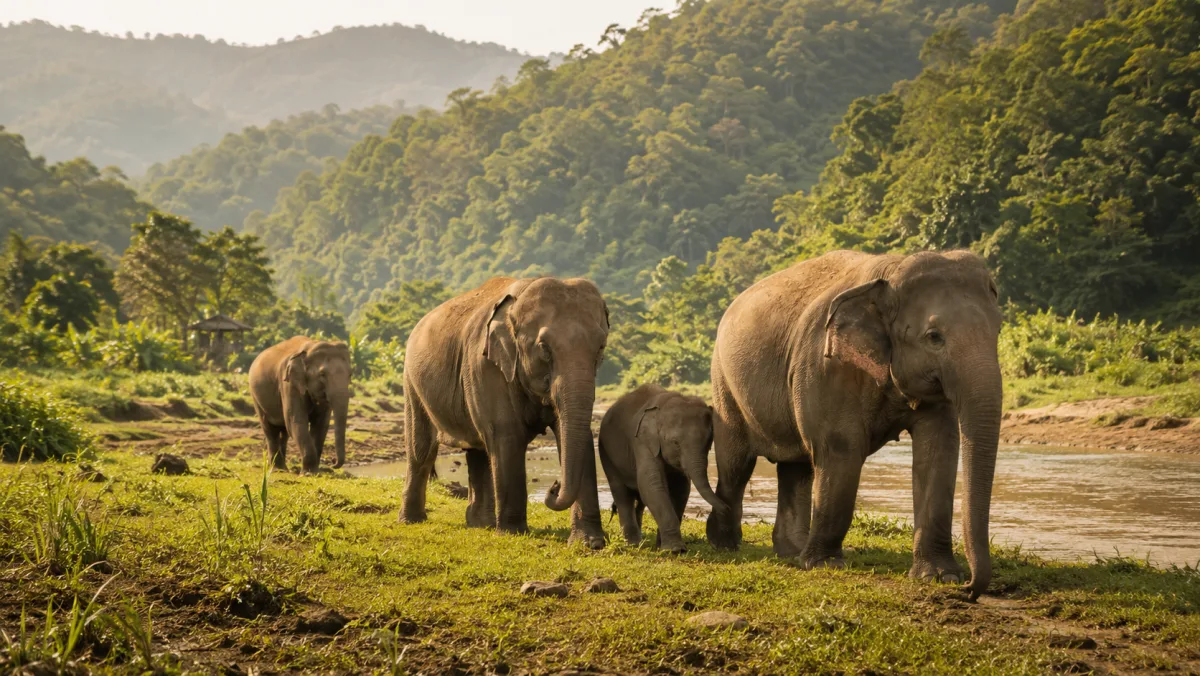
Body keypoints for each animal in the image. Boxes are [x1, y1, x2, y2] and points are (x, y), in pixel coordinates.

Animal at [248, 337, 352, 472]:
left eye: (350, 374)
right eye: (322, 374)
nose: (332, 462)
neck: (311, 346)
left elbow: (321, 424)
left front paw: (315, 471)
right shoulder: (289, 384)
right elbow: (296, 420)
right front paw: (309, 473)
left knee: (284, 431)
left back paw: (283, 468)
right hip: (256, 397)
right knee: (270, 429)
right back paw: (278, 469)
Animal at [399, 276, 610, 548]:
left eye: (601, 347)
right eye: (544, 348)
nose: (553, 486)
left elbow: (578, 438)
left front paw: (590, 543)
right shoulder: (485, 366)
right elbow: (507, 436)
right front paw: (512, 533)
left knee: (476, 449)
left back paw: (481, 524)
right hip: (412, 383)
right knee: (421, 448)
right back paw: (411, 520)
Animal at [596, 384, 726, 552]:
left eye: (709, 441)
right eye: (675, 442)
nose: (726, 508)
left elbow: (681, 489)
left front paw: (662, 546)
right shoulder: (642, 442)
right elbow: (652, 485)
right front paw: (675, 550)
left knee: (639, 500)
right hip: (606, 454)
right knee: (622, 494)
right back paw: (633, 543)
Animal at [706, 250, 1002, 600]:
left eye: (998, 331)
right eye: (934, 338)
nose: (970, 590)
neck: (890, 271)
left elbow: (938, 449)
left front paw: (941, 577)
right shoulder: (826, 365)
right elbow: (841, 447)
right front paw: (825, 565)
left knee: (796, 467)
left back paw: (791, 551)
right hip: (723, 382)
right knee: (737, 465)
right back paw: (724, 545)